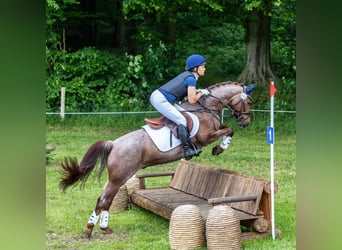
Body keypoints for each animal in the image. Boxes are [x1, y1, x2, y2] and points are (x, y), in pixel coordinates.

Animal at [59, 81, 256, 237]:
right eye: (248, 101)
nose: (245, 122)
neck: (206, 108)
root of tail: (113, 144)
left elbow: (227, 128)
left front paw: (220, 147)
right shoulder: (205, 137)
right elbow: (229, 130)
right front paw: (219, 149)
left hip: (117, 178)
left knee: (105, 199)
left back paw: (103, 227)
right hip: (118, 177)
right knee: (103, 200)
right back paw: (89, 229)